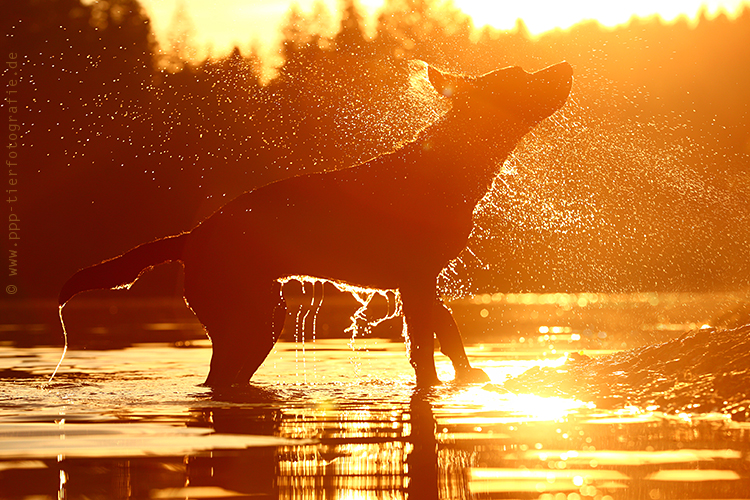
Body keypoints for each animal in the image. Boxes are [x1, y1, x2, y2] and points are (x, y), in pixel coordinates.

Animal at [60, 61, 576, 386]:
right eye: (521, 76)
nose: (567, 64)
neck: (452, 162)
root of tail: (190, 237)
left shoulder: (422, 280)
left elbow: (446, 330)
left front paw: (466, 376)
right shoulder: (414, 279)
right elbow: (425, 344)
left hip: (261, 314)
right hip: (252, 320)